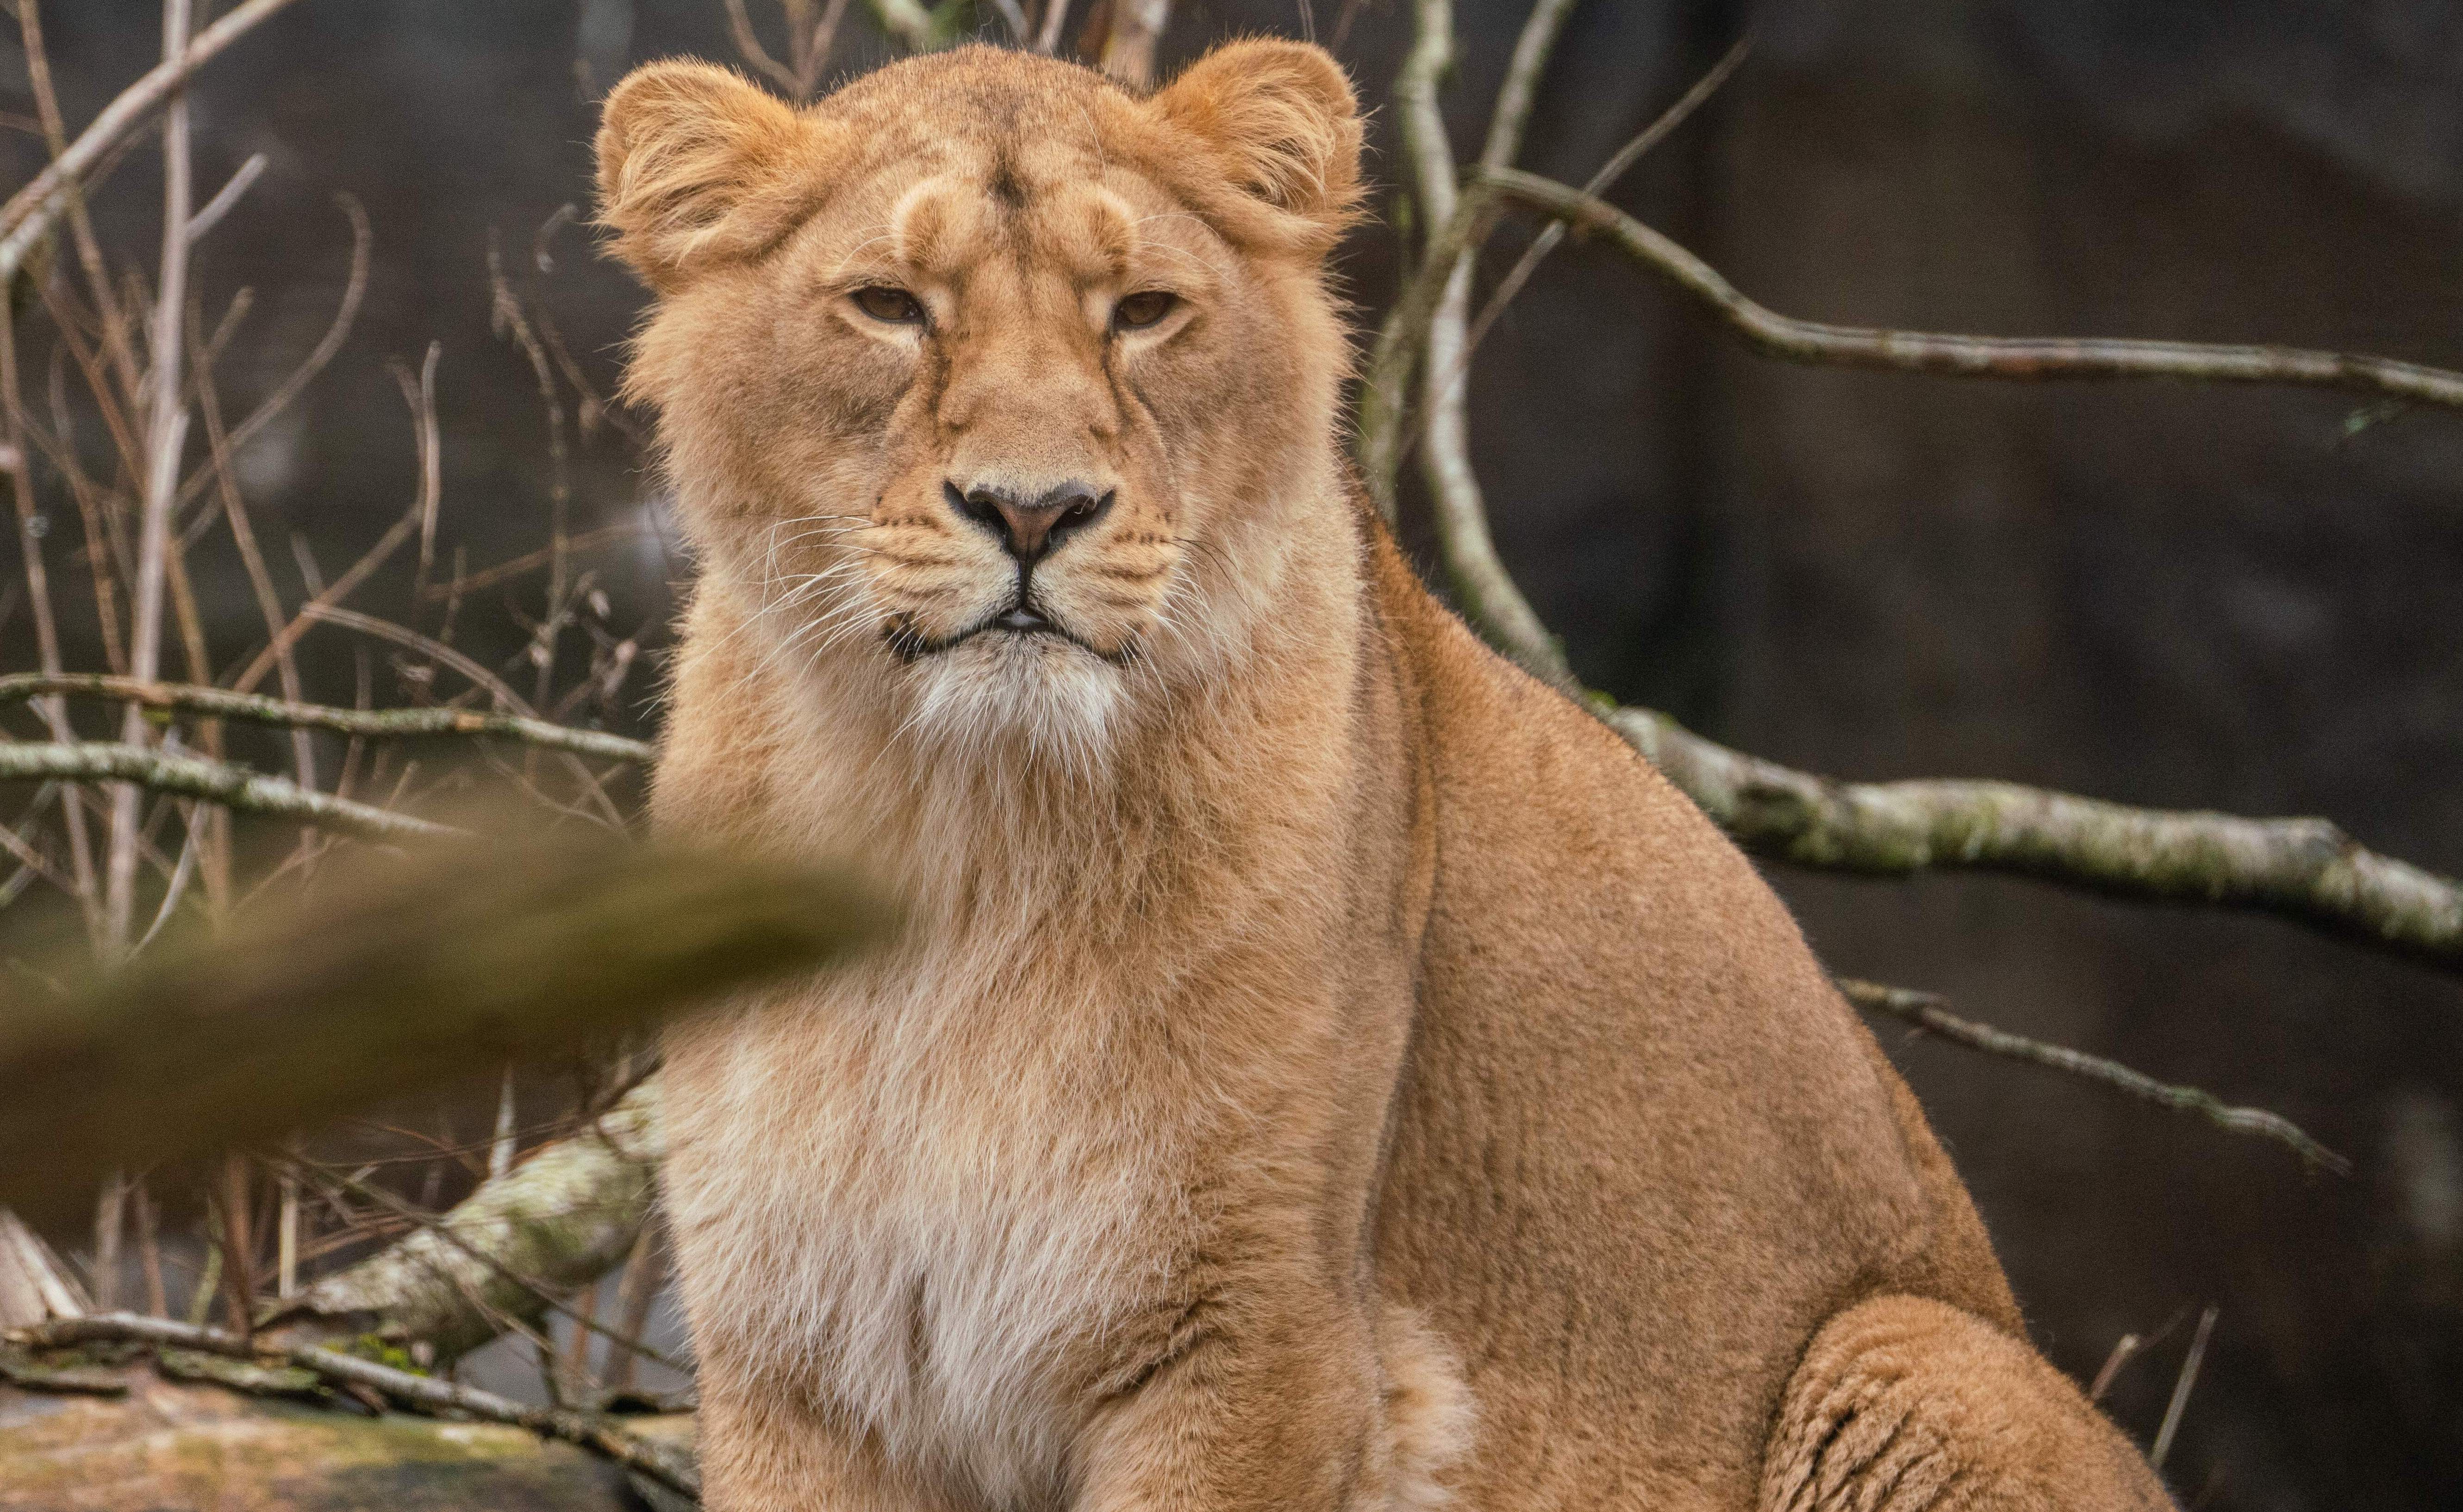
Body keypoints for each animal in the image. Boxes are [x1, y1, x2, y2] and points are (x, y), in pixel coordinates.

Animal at [596, 39, 2176, 1512]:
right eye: (888, 304)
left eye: (1144, 312)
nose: (1034, 511)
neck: (957, 819)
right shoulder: (799, 1363)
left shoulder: (1257, 1342)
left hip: (1910, 1354)